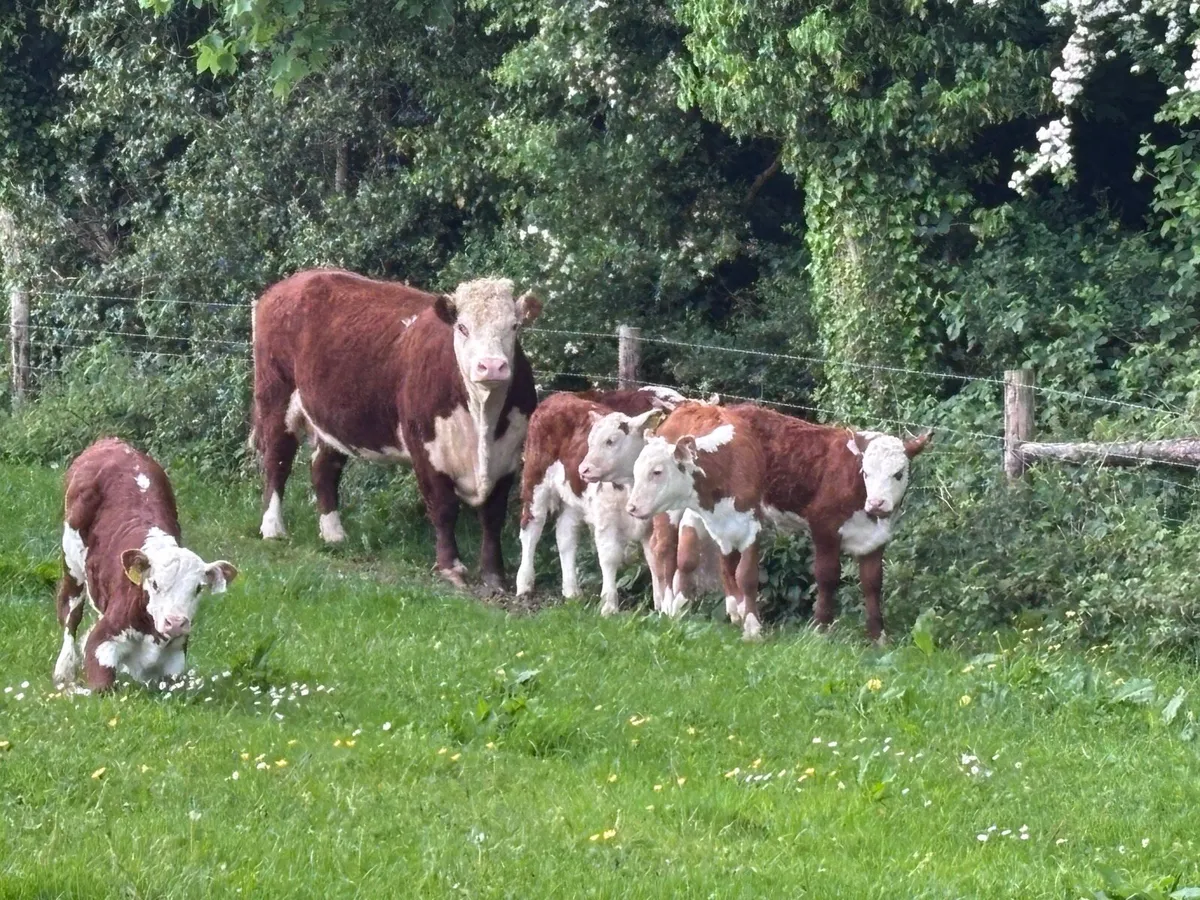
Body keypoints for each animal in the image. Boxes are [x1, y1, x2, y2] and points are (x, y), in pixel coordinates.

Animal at [52, 438, 237, 692]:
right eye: (155, 584)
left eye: (198, 588)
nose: (176, 622)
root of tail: (112, 441)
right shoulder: (102, 641)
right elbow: (102, 686)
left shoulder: (176, 656)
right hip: (72, 562)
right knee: (70, 612)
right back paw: (64, 669)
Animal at [251, 268, 541, 591]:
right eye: (463, 327)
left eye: (514, 326)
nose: (491, 366)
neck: (483, 422)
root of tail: (290, 283)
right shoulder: (426, 449)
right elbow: (444, 508)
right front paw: (450, 568)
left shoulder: (508, 455)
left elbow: (492, 516)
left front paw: (494, 575)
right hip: (276, 395)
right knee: (277, 461)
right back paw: (273, 529)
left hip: (330, 417)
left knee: (323, 469)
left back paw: (334, 535)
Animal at [515, 386, 684, 615]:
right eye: (590, 441)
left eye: (611, 440)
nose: (583, 469)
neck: (629, 484)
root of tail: (558, 396)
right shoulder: (606, 518)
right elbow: (610, 557)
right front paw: (609, 606)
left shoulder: (652, 523)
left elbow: (654, 558)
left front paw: (659, 606)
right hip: (535, 479)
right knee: (531, 528)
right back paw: (524, 584)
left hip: (573, 498)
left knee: (566, 536)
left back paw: (572, 591)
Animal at [625, 403, 768, 639]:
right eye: (636, 471)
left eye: (657, 471)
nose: (631, 508)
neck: (726, 469)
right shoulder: (694, 515)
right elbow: (687, 560)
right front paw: (678, 606)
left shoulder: (750, 526)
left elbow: (744, 574)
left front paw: (751, 625)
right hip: (668, 513)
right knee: (664, 551)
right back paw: (666, 602)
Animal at [727, 403, 930, 643]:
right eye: (866, 472)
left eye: (898, 474)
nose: (876, 503)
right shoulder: (824, 527)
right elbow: (827, 575)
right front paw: (820, 629)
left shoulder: (876, 537)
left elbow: (872, 582)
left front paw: (878, 636)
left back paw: (736, 612)